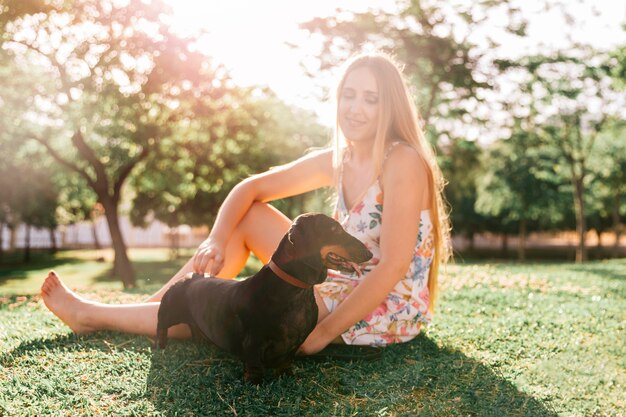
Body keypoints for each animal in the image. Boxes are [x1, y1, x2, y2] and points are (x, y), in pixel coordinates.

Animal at [155, 213, 370, 382]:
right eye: (334, 229)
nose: (369, 253)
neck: (296, 291)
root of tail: (192, 276)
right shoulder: (253, 340)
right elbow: (253, 361)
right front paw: (255, 380)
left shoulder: (297, 342)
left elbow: (286, 359)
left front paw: (285, 373)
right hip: (168, 311)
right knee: (161, 326)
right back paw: (160, 345)